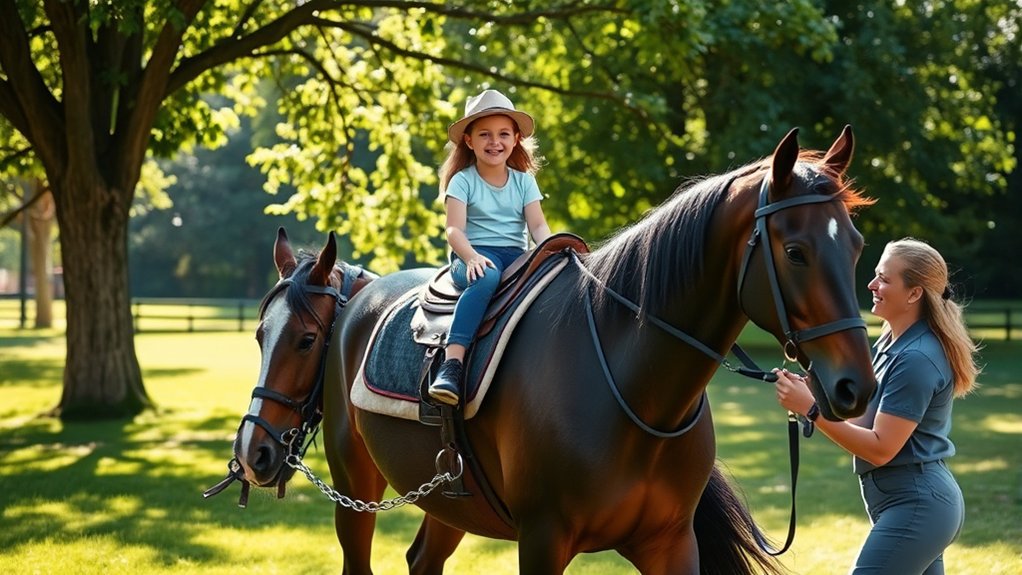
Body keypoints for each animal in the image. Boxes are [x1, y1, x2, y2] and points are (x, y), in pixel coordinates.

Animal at [230, 126, 878, 574]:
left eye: (856, 245)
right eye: (795, 251)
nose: (857, 386)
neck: (630, 385)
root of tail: (363, 295)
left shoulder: (670, 542)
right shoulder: (543, 540)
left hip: (447, 500)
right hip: (356, 489)